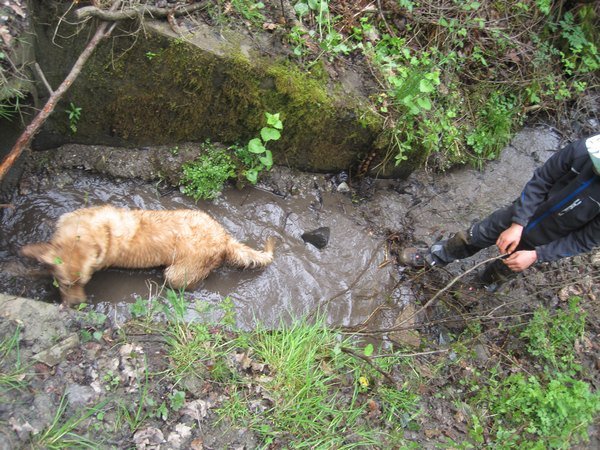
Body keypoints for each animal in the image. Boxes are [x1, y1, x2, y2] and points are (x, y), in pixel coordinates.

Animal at [20, 205, 274, 306]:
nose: (78, 304)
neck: (86, 232)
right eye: (63, 283)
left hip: (176, 274)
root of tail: (224, 239)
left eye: (85, 282)